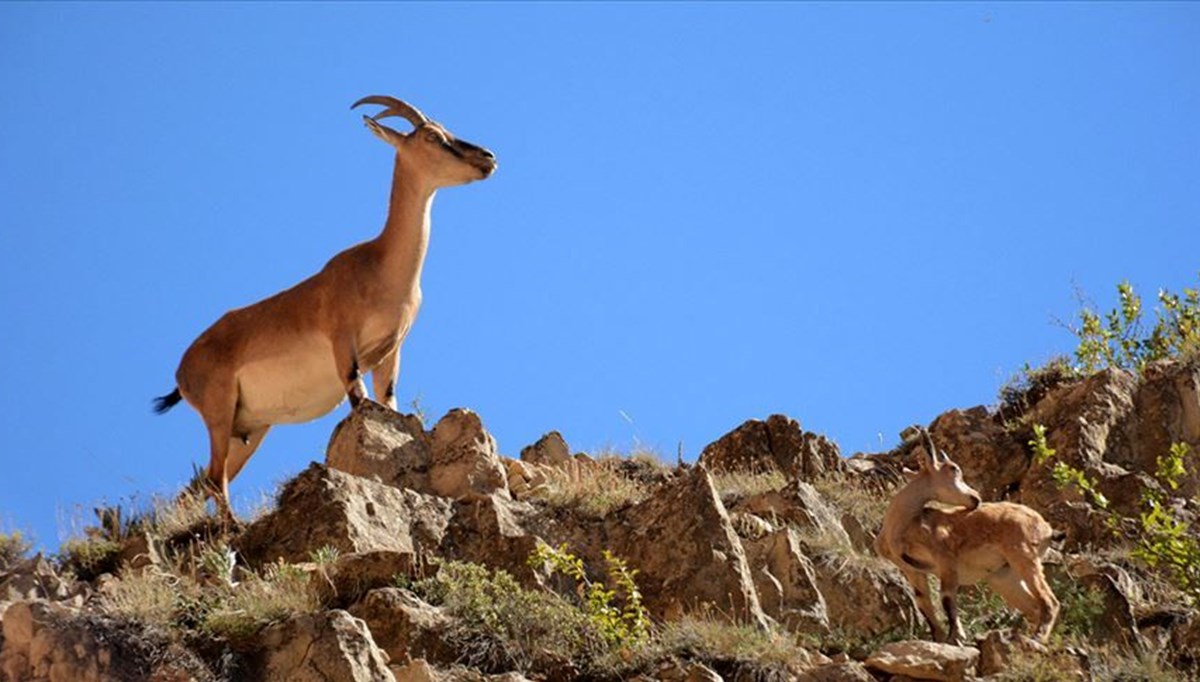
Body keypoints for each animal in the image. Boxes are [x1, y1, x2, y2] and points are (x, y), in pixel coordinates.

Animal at [152, 96, 494, 518]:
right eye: (432, 136)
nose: (488, 157)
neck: (381, 268)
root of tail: (182, 371)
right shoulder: (342, 341)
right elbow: (358, 398)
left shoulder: (390, 351)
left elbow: (388, 400)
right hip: (218, 411)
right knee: (215, 480)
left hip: (248, 428)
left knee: (201, 484)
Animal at [873, 429, 1060, 643]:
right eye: (953, 469)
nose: (976, 498)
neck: (900, 527)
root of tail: (1046, 528)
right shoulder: (912, 570)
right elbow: (923, 603)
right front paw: (940, 638)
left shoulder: (946, 561)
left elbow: (947, 598)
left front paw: (956, 637)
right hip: (1003, 576)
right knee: (1033, 607)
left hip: (1024, 556)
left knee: (1050, 601)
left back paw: (1037, 637)